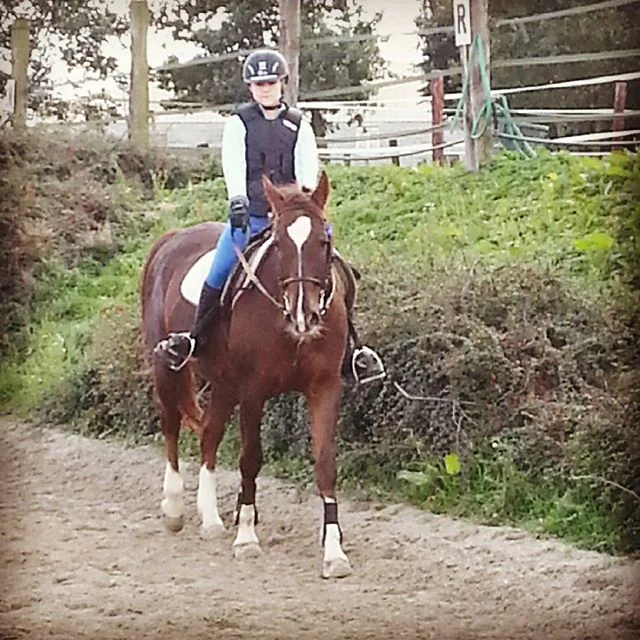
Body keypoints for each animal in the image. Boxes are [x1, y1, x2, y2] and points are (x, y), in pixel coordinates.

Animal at [140, 171, 353, 578]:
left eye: (324, 241)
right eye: (280, 244)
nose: (304, 315)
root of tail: (171, 238)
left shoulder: (324, 387)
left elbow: (325, 463)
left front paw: (334, 552)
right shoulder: (254, 390)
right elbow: (250, 458)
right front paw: (247, 537)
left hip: (224, 384)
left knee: (209, 435)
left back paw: (210, 519)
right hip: (167, 368)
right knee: (171, 426)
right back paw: (174, 508)